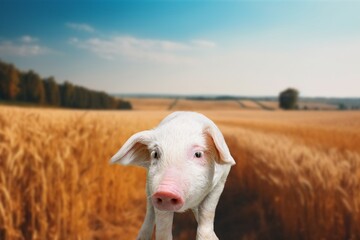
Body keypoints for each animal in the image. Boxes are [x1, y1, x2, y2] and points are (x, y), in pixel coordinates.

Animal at [112, 111, 236, 239]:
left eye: (198, 154)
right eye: (155, 154)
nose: (165, 191)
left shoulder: (221, 181)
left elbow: (207, 212)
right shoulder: (155, 188)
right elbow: (163, 226)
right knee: (150, 211)